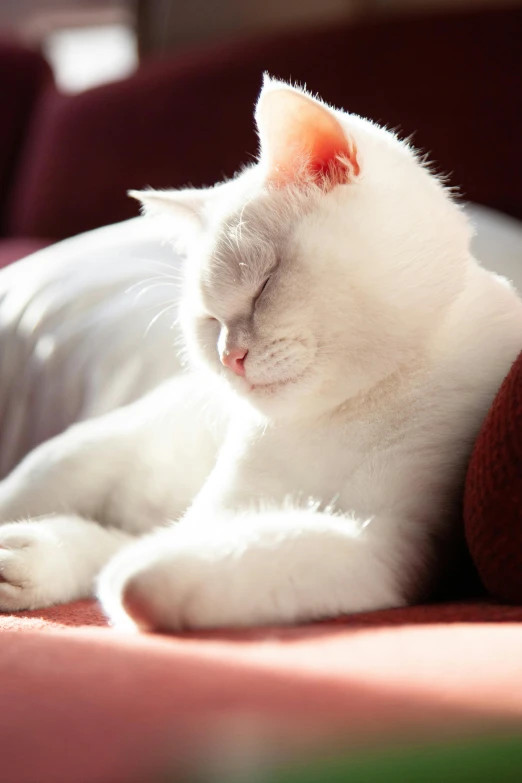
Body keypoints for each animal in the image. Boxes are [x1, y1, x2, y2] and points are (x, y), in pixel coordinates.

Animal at [1, 78, 520, 632]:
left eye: (264, 286)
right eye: (209, 320)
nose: (230, 356)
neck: (338, 417)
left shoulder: (392, 542)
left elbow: (252, 552)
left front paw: (150, 574)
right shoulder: (225, 504)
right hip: (64, 462)